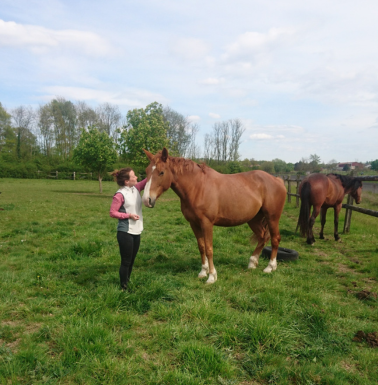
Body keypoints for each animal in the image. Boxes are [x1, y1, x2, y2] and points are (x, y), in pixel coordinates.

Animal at [142, 147, 286, 282]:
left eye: (161, 172)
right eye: (147, 171)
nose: (146, 200)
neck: (197, 187)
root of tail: (277, 180)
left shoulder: (207, 224)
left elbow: (209, 249)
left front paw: (212, 276)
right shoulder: (194, 224)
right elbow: (201, 247)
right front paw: (203, 272)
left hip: (272, 217)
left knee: (275, 238)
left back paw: (270, 267)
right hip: (254, 219)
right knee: (262, 237)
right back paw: (252, 263)